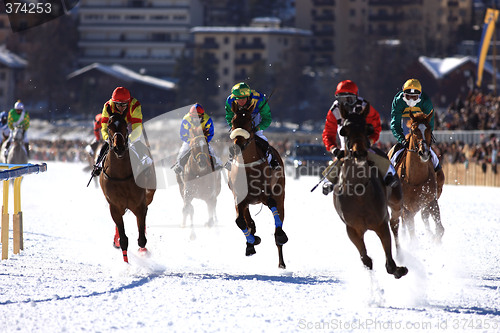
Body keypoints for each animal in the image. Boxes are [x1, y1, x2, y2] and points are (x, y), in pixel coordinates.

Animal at [98, 113, 155, 262]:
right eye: (109, 125)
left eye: (124, 124)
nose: (119, 148)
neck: (121, 175)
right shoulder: (114, 206)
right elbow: (123, 238)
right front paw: (126, 263)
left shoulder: (139, 205)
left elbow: (142, 238)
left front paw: (143, 252)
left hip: (149, 195)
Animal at [228, 107, 290, 268]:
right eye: (233, 121)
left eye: (250, 120)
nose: (238, 145)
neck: (248, 168)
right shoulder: (239, 197)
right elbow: (240, 221)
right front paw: (252, 241)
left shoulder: (266, 194)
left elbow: (272, 206)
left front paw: (280, 236)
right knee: (247, 220)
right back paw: (251, 241)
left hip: (280, 192)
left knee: (278, 218)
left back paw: (281, 260)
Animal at [332, 109, 406, 278]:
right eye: (344, 131)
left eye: (368, 129)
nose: (359, 152)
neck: (359, 193)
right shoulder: (352, 229)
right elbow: (366, 259)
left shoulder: (381, 223)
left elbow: (390, 264)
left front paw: (399, 269)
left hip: (396, 200)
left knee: (395, 222)